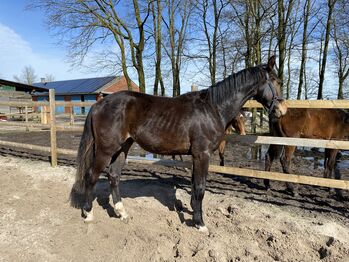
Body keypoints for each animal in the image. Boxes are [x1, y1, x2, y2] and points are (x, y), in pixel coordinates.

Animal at [70, 55, 286, 231]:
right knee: (91, 176)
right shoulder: (202, 154)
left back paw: (122, 213)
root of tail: (98, 104)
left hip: (123, 147)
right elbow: (200, 187)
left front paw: (193, 214)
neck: (212, 108)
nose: (281, 110)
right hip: (106, 150)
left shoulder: (196, 156)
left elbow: (195, 186)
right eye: (276, 81)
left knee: (114, 176)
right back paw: (88, 213)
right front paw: (200, 224)